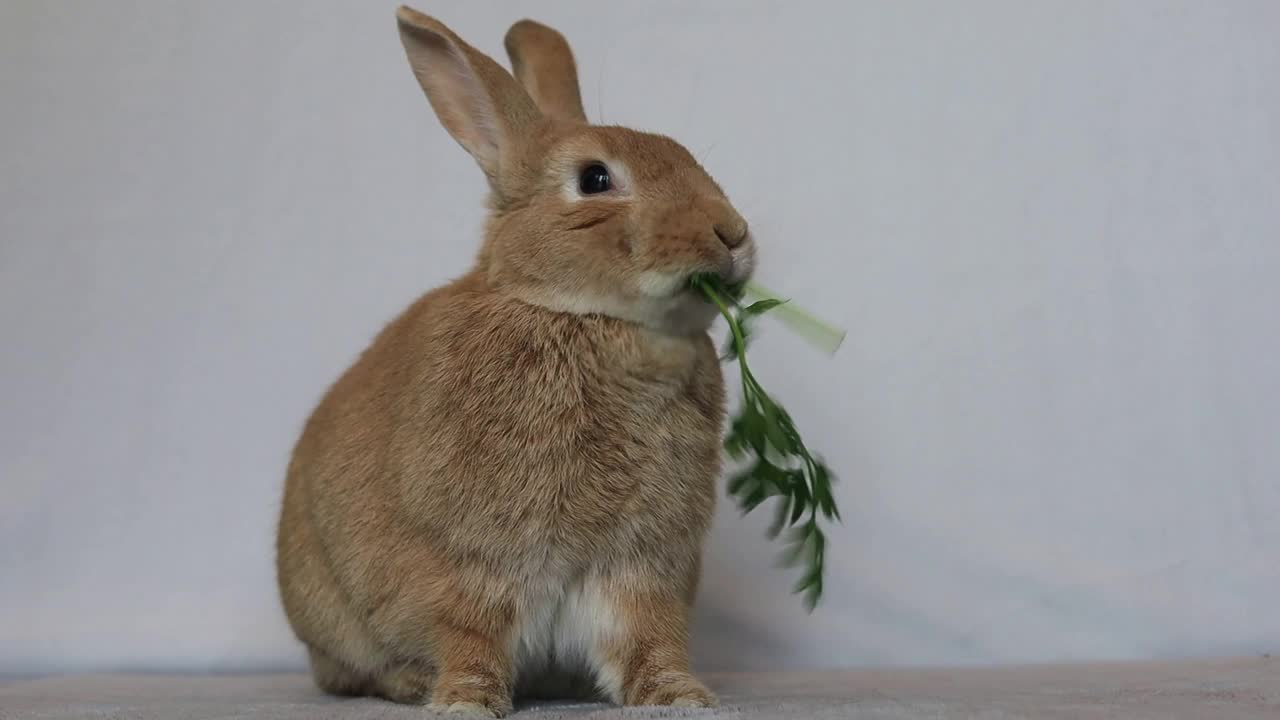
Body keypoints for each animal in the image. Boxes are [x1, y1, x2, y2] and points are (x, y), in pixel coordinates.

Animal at [275, 4, 752, 712]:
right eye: (595, 179)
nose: (732, 233)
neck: (582, 317)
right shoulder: (472, 561)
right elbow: (469, 634)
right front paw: (466, 702)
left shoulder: (642, 566)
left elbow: (648, 635)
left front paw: (679, 696)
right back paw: (411, 681)